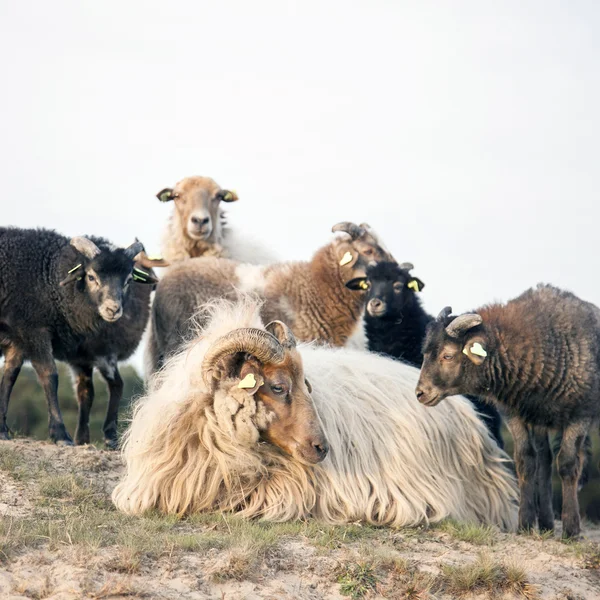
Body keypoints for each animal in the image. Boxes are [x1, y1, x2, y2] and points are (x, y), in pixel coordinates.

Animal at [0, 227, 157, 448]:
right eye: (91, 277)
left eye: (128, 280)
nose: (113, 309)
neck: (47, 277)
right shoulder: (34, 330)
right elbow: (50, 375)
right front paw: (60, 433)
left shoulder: (18, 338)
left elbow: (9, 376)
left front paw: (2, 429)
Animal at [414, 286, 600, 540]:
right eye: (425, 353)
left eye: (448, 355)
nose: (420, 393)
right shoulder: (515, 416)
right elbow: (525, 462)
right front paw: (525, 524)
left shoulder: (579, 415)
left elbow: (567, 464)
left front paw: (572, 531)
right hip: (539, 419)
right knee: (543, 461)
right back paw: (545, 524)